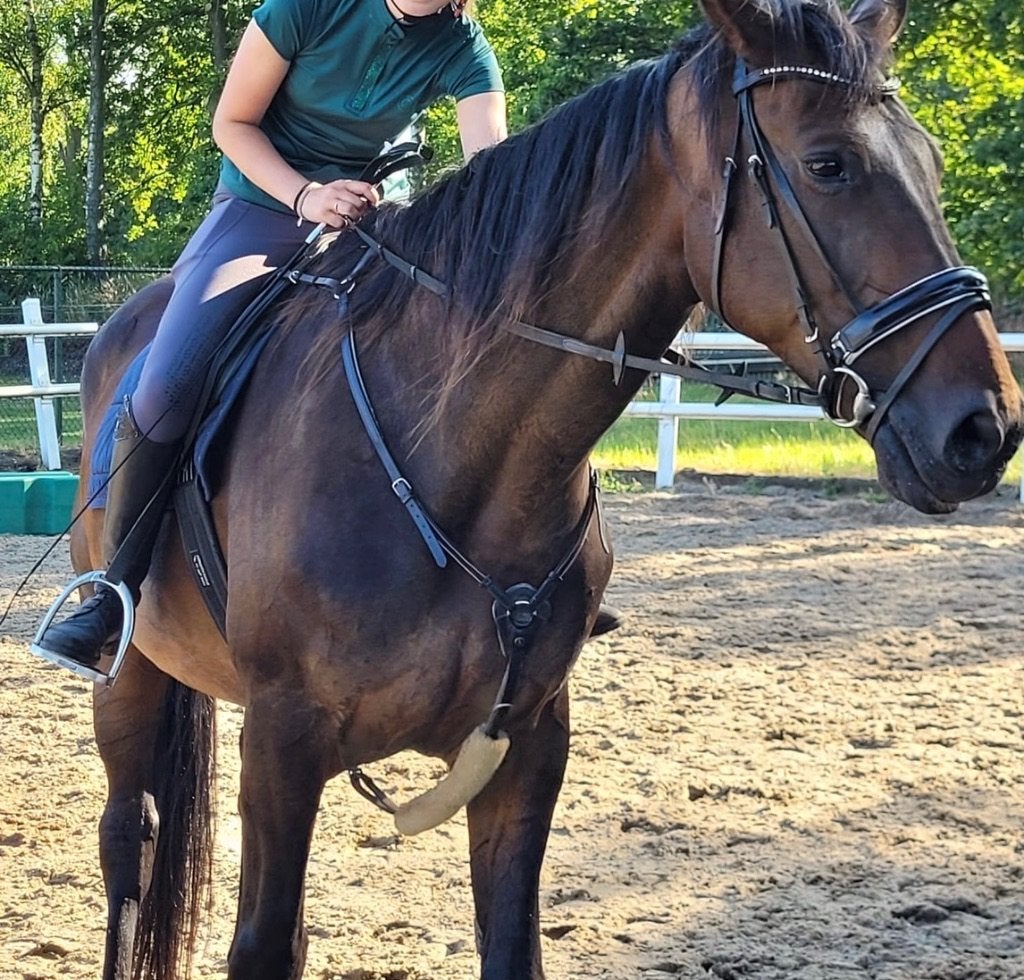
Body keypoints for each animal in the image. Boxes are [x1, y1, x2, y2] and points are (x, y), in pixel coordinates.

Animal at [59, 0, 1023, 976]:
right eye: (829, 164)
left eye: (931, 163)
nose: (984, 428)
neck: (453, 462)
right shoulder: (282, 744)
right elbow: (258, 942)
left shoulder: (525, 748)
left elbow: (509, 941)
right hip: (129, 676)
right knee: (130, 837)